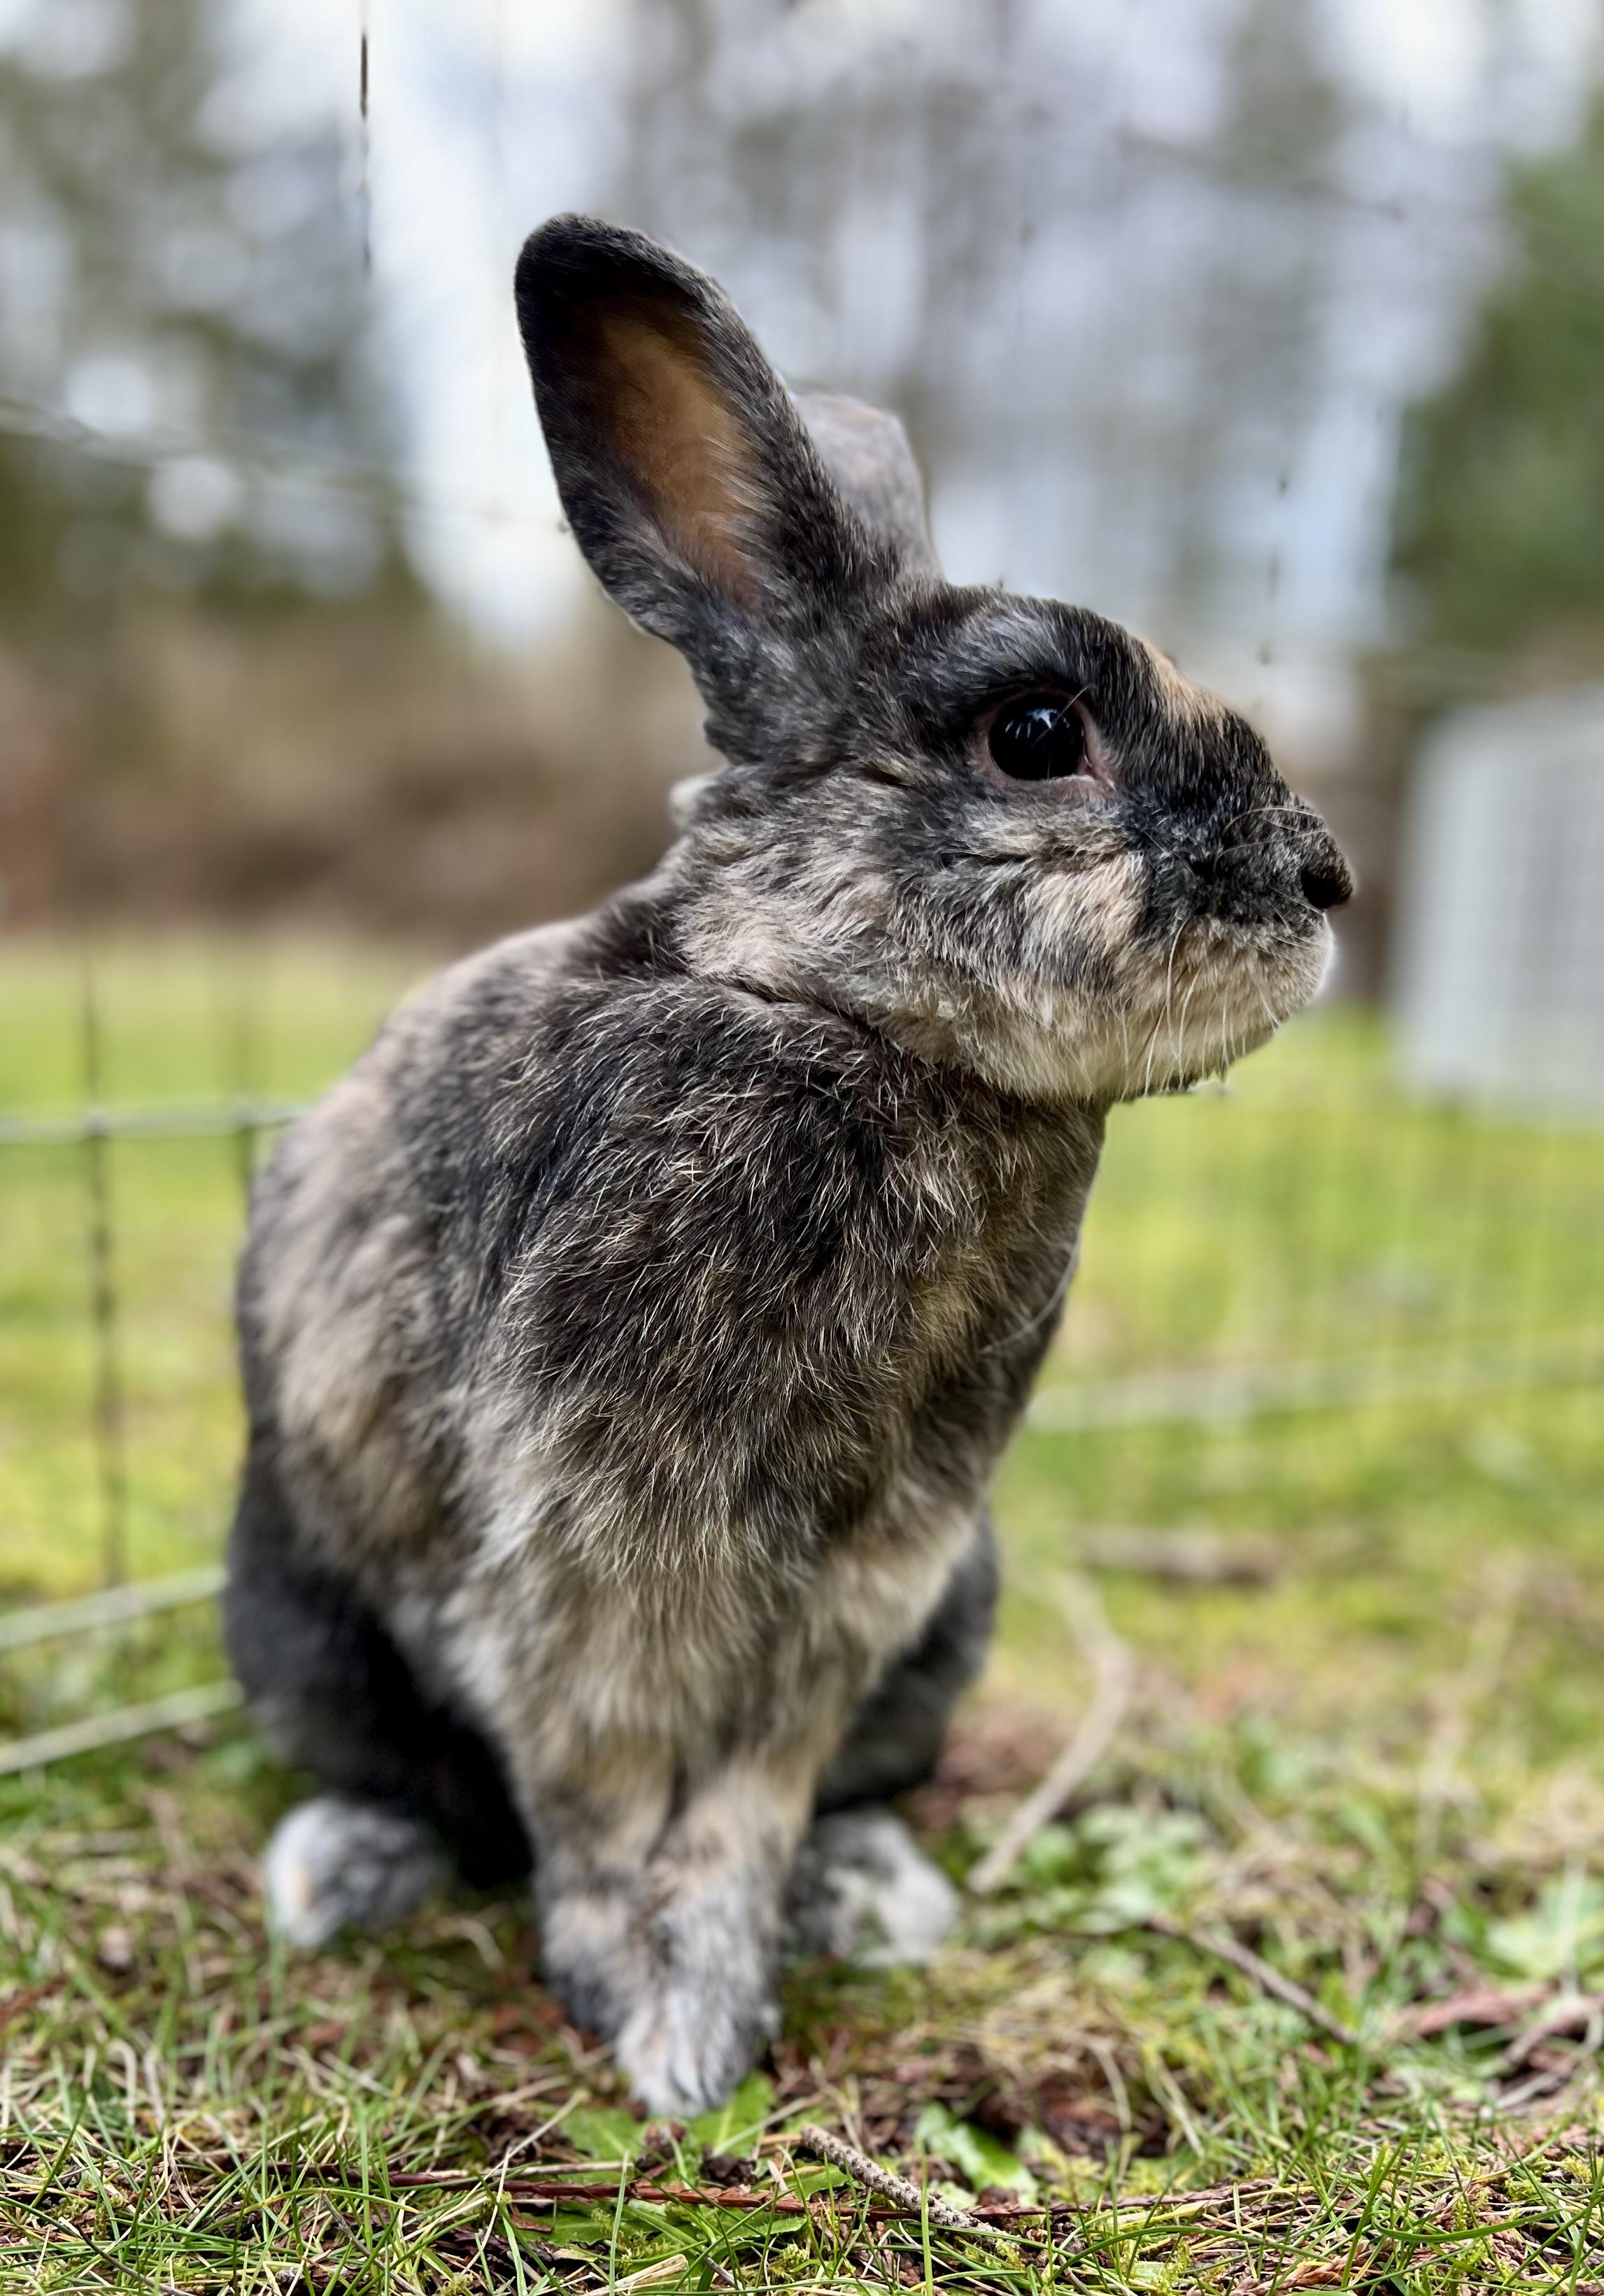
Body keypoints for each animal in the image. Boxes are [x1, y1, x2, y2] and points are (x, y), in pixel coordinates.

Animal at [225, 213, 1351, 2115]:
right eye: (1036, 733)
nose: (1323, 880)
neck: (830, 1008)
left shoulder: (862, 1579)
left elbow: (749, 1793)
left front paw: (718, 1985)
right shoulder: (583, 1561)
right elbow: (598, 1791)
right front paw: (655, 2025)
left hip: (952, 1619)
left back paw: (868, 1889)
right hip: (302, 1625)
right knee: (415, 1779)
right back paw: (346, 1867)